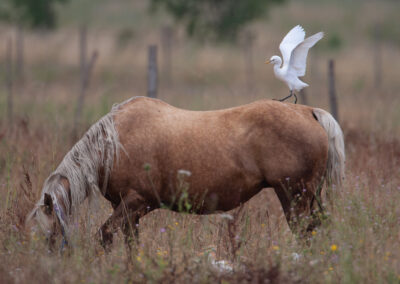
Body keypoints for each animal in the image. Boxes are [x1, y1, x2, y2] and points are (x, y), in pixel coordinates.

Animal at [25, 96, 344, 250]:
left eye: (48, 234)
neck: (114, 144)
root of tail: (308, 111)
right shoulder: (130, 212)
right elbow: (131, 245)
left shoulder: (133, 204)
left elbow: (104, 235)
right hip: (306, 197)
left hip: (294, 196)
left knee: (305, 233)